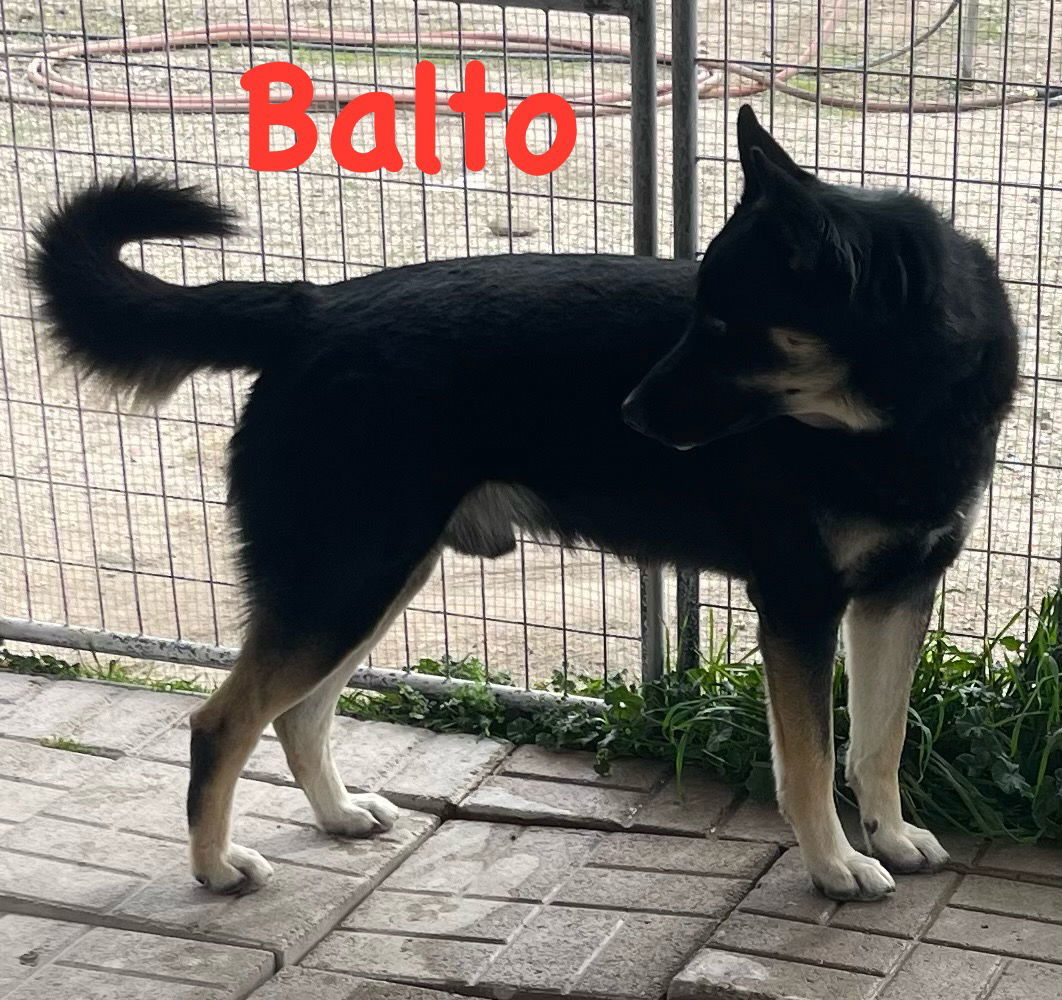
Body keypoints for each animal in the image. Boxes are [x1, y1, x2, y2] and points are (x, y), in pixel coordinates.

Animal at [29, 107, 1015, 900]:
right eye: (701, 313)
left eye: (727, 326)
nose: (629, 414)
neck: (899, 414)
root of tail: (313, 306)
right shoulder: (799, 608)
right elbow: (809, 761)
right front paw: (837, 864)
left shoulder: (897, 595)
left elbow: (879, 739)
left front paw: (888, 835)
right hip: (342, 580)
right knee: (221, 723)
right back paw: (214, 868)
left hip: (372, 580)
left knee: (298, 713)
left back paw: (338, 815)